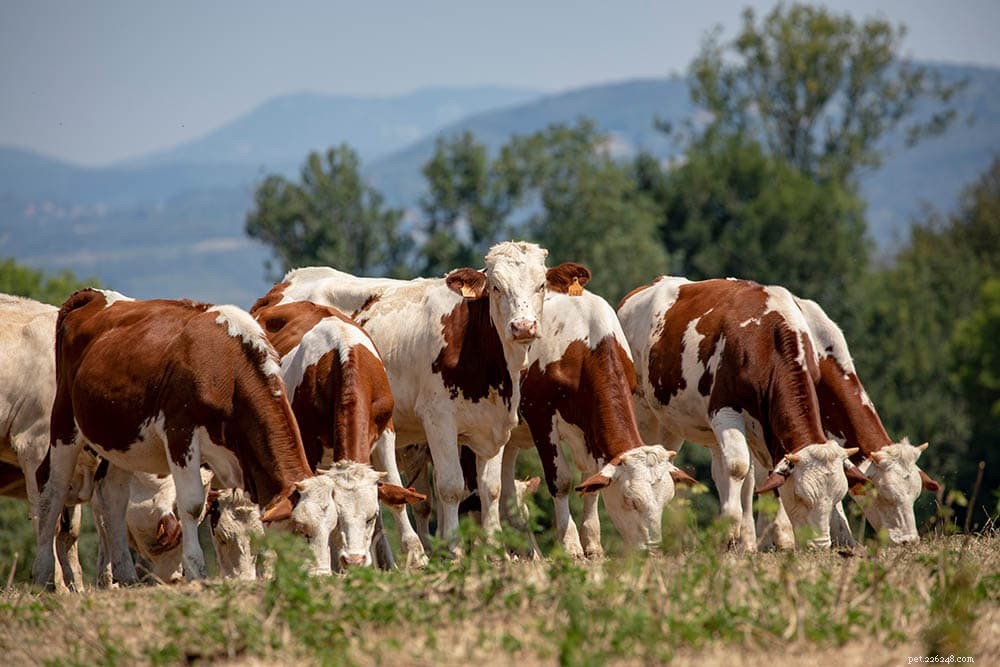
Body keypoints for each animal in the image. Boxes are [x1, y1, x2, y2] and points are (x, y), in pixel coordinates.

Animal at [32, 289, 340, 588]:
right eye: (301, 529)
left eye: (332, 528)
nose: (321, 578)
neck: (227, 368)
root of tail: (93, 296)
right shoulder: (180, 435)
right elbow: (192, 506)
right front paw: (196, 570)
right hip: (64, 424)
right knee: (52, 489)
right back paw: (43, 575)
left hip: (121, 441)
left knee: (112, 495)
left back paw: (126, 574)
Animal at [251, 300, 427, 567]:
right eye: (338, 518)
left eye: (370, 516)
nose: (353, 560)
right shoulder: (308, 444)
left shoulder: (386, 431)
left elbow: (396, 491)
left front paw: (416, 556)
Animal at [266, 241, 549, 542]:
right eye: (496, 286)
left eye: (541, 285)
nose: (523, 326)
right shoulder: (439, 420)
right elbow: (451, 487)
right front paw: (453, 546)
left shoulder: (493, 425)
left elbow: (491, 491)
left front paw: (494, 547)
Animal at [618, 277, 856, 549]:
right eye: (801, 496)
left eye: (837, 496)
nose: (819, 545)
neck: (768, 338)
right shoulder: (725, 412)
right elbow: (738, 467)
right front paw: (731, 531)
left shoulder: (766, 426)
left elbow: (770, 473)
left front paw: (779, 539)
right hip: (643, 409)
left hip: (674, 423)